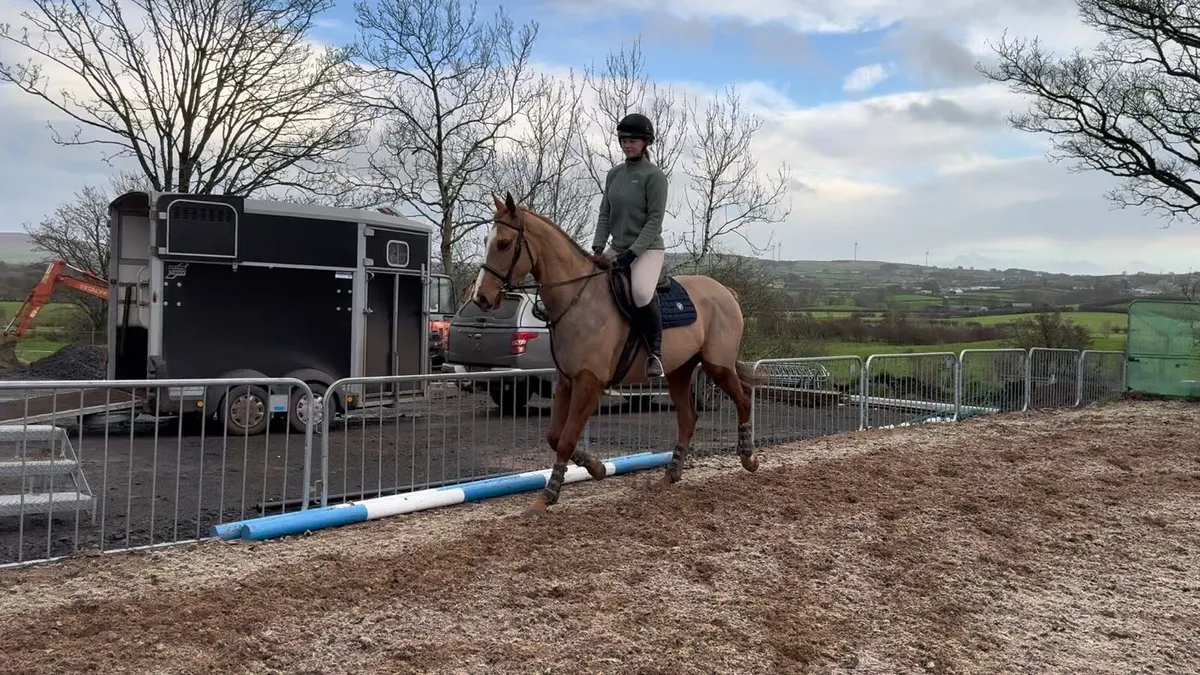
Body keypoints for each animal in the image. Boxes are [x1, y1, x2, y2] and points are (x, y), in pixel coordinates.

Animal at [472, 192, 762, 516]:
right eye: (487, 240)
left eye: (504, 243)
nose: (481, 297)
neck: (578, 300)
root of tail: (725, 291)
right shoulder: (566, 381)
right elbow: (555, 436)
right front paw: (596, 468)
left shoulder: (589, 383)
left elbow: (566, 439)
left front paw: (547, 496)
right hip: (679, 372)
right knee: (688, 419)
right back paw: (670, 476)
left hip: (717, 365)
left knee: (742, 399)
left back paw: (748, 457)